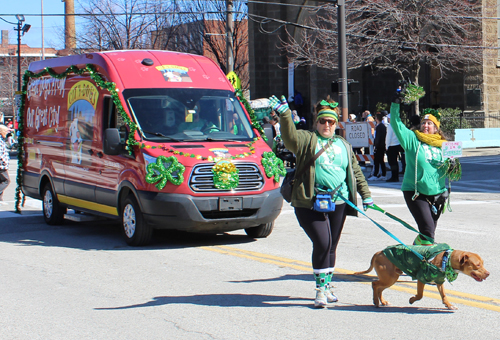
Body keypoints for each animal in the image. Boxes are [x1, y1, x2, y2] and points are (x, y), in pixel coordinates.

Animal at [354, 246, 490, 310]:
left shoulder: (439, 281)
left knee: (380, 288)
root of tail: (378, 252)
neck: (447, 259)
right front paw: (412, 300)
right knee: (375, 284)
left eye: (483, 263)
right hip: (389, 277)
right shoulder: (421, 278)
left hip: (391, 278)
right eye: (478, 265)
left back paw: (382, 301)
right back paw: (376, 301)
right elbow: (420, 295)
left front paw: (449, 305)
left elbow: (444, 295)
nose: (488, 273)